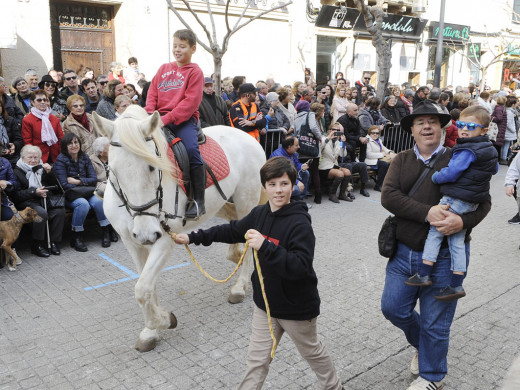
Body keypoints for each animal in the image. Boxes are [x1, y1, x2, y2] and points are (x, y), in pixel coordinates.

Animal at [91, 105, 266, 352]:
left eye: (152, 167)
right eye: (114, 170)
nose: (146, 233)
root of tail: (248, 137)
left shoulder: (164, 238)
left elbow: (142, 289)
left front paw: (164, 321)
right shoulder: (132, 241)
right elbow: (147, 286)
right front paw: (151, 332)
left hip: (245, 201)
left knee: (249, 239)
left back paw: (239, 287)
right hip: (221, 204)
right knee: (235, 225)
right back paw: (235, 255)